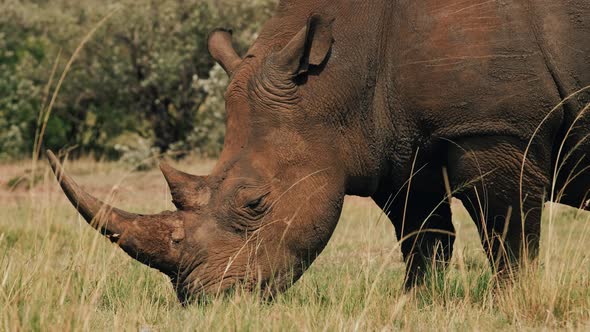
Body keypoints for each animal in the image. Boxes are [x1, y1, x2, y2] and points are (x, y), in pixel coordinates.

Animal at [48, 0, 588, 302]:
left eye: (255, 203)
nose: (204, 300)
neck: (340, 71)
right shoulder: (390, 145)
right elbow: (422, 235)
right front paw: (414, 305)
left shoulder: (495, 129)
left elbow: (507, 232)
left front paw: (508, 304)